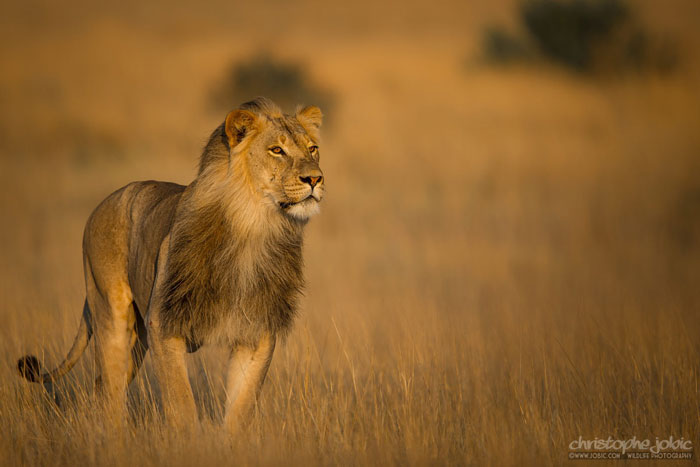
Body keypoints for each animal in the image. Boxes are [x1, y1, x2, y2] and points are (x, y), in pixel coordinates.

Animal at [15, 97, 322, 434]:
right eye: (276, 150)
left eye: (313, 148)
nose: (315, 178)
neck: (253, 227)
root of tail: (104, 203)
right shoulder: (163, 323)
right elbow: (181, 402)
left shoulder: (255, 332)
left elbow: (240, 410)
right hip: (111, 314)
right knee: (110, 393)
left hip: (136, 340)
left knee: (102, 388)